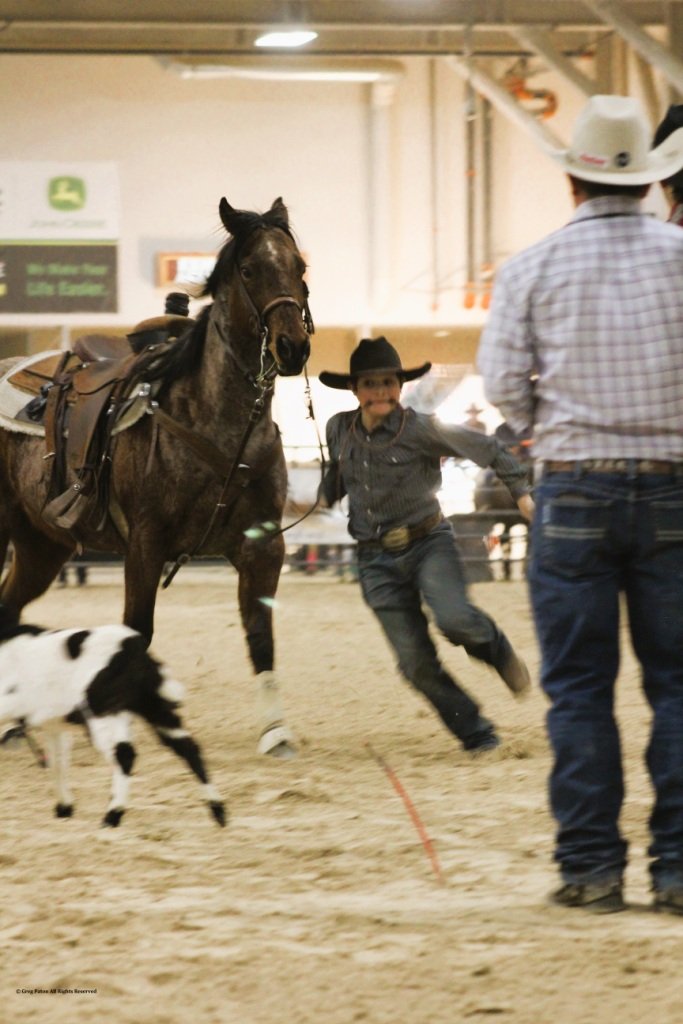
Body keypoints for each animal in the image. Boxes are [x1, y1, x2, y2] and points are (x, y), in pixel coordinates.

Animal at [0, 606, 226, 828]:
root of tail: (132, 646)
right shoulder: (54, 725)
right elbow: (58, 763)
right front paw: (64, 808)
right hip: (152, 707)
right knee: (188, 748)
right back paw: (218, 812)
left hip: (103, 712)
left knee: (124, 754)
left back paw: (112, 816)